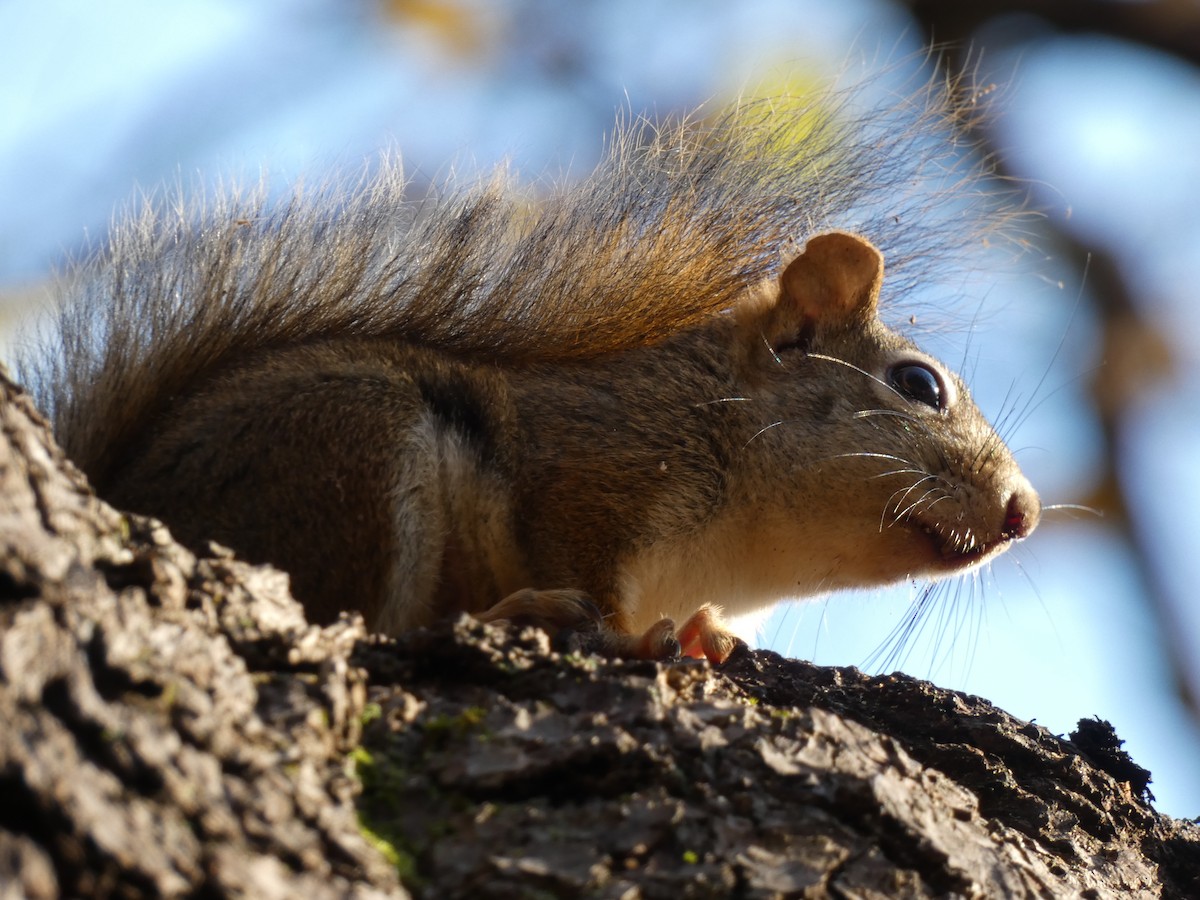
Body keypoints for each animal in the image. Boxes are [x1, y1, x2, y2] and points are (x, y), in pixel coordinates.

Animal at [21, 83, 1040, 664]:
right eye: (919, 385)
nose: (1025, 513)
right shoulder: (596, 467)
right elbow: (577, 551)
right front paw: (629, 633)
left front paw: (704, 629)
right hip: (349, 448)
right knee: (362, 625)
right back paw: (521, 612)